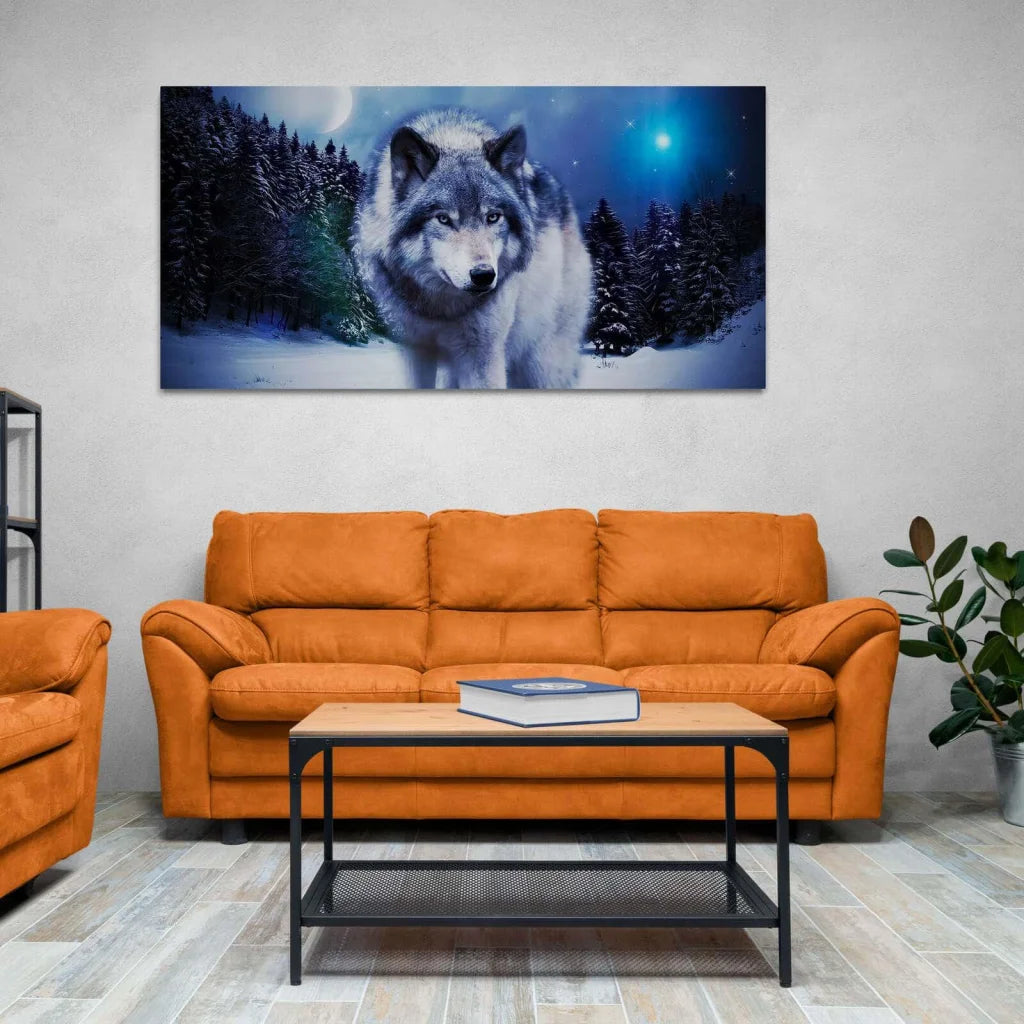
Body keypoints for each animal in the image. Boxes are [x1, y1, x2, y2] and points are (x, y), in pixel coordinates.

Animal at [354, 108, 592, 388]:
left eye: (493, 217)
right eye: (443, 219)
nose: (483, 275)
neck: (440, 309)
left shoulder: (482, 355)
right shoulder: (415, 349)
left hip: (543, 364)